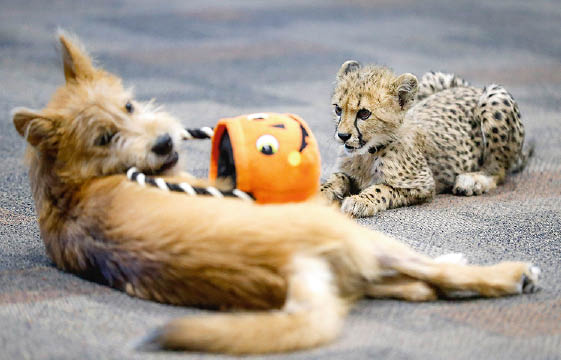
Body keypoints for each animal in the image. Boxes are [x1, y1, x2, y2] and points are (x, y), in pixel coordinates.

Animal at [12, 32, 540, 356]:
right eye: (338, 109)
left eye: (364, 113)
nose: (342, 136)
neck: (373, 147)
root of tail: (470, 84)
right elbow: (335, 181)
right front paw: (328, 190)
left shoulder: (419, 184)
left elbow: (381, 190)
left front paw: (360, 198)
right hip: (436, 81)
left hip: (495, 101)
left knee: (502, 166)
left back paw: (478, 182)